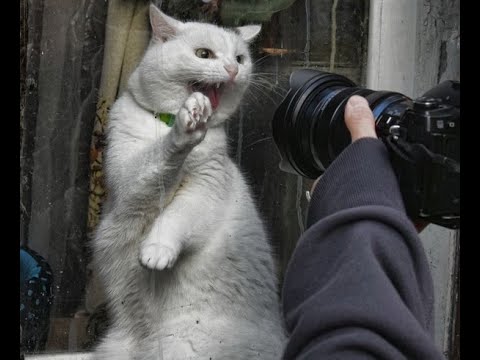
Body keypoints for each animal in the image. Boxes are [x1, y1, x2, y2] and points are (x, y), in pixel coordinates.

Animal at [92, 3, 286, 360]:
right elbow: (156, 161)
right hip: (115, 348)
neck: (162, 123)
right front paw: (186, 126)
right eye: (204, 54)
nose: (232, 70)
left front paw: (156, 252)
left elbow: (176, 218)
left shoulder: (207, 189)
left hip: (182, 345)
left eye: (240, 58)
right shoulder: (127, 179)